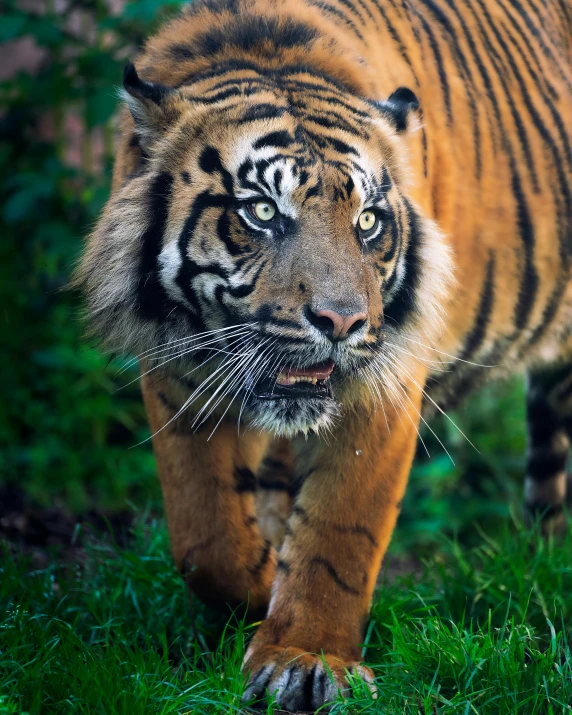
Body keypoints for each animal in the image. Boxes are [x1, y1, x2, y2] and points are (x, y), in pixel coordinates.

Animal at [76, 1, 572, 712]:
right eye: (261, 212)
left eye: (367, 222)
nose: (342, 322)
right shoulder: (175, 370)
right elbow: (206, 536)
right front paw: (260, 593)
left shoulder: (385, 381)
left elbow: (340, 531)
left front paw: (307, 658)